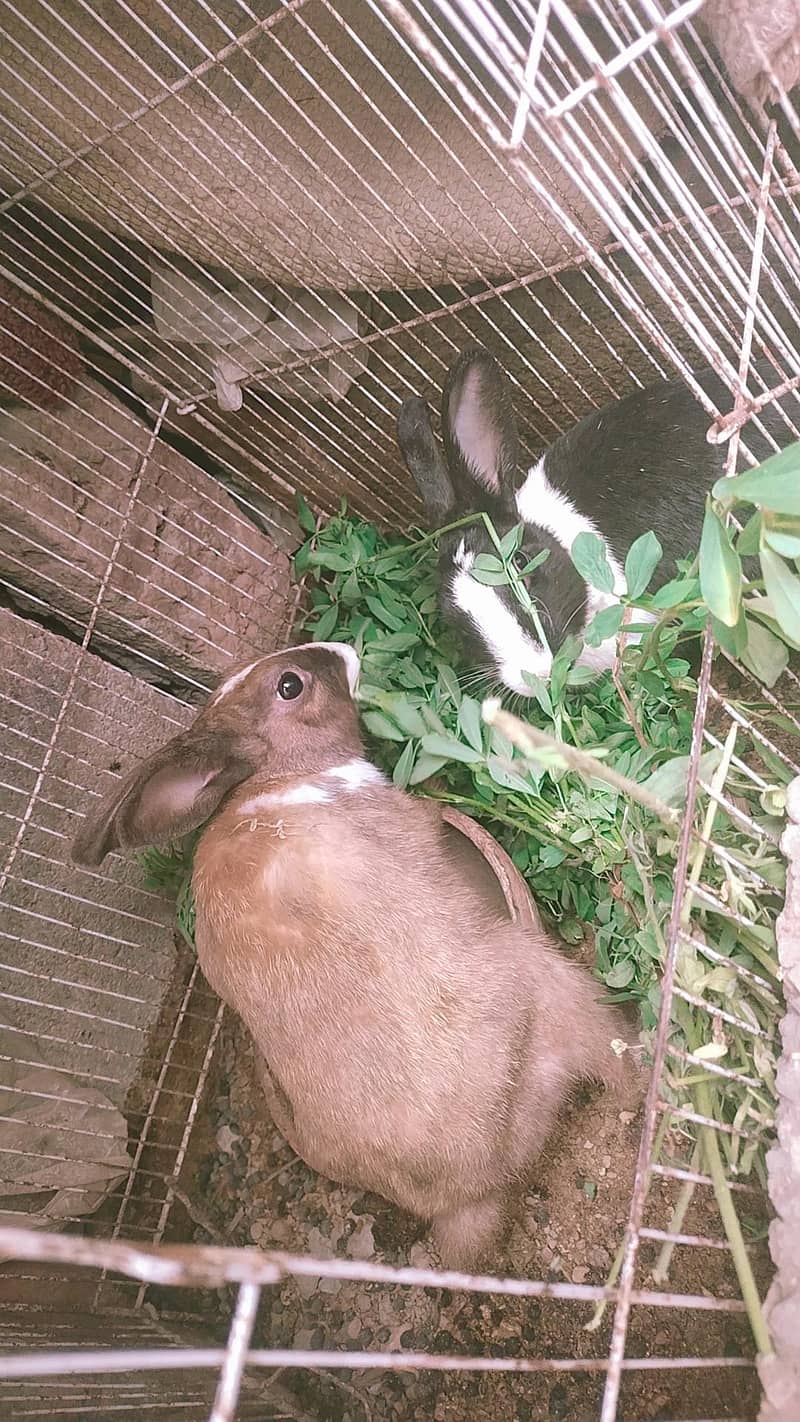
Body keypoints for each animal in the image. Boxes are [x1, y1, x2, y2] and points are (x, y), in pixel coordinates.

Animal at [71, 640, 634, 1271]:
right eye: (289, 686)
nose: (343, 649)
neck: (283, 774)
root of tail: (470, 1192)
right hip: (555, 982)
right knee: (621, 1068)